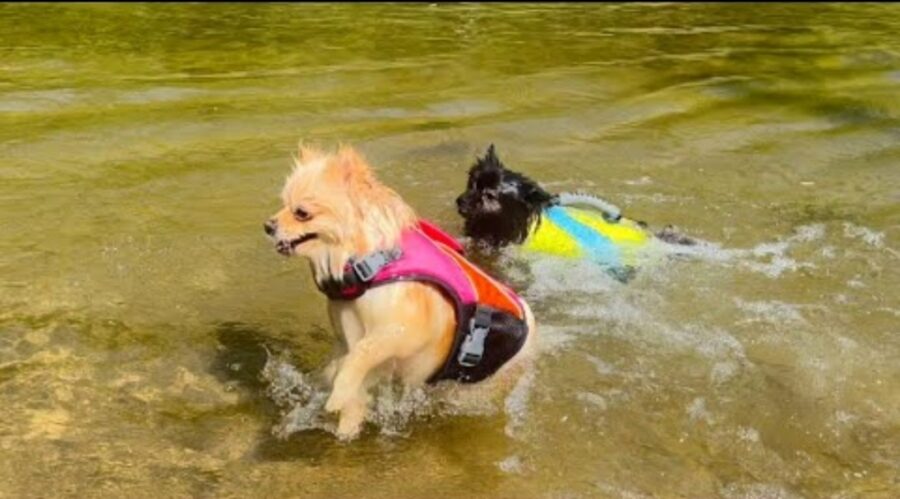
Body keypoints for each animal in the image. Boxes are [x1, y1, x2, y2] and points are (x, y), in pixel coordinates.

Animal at [266, 146, 536, 442]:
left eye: (302, 213)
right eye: (282, 204)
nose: (268, 226)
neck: (372, 265)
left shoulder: (402, 332)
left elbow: (362, 353)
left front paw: (339, 395)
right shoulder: (349, 333)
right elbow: (348, 365)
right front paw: (348, 418)